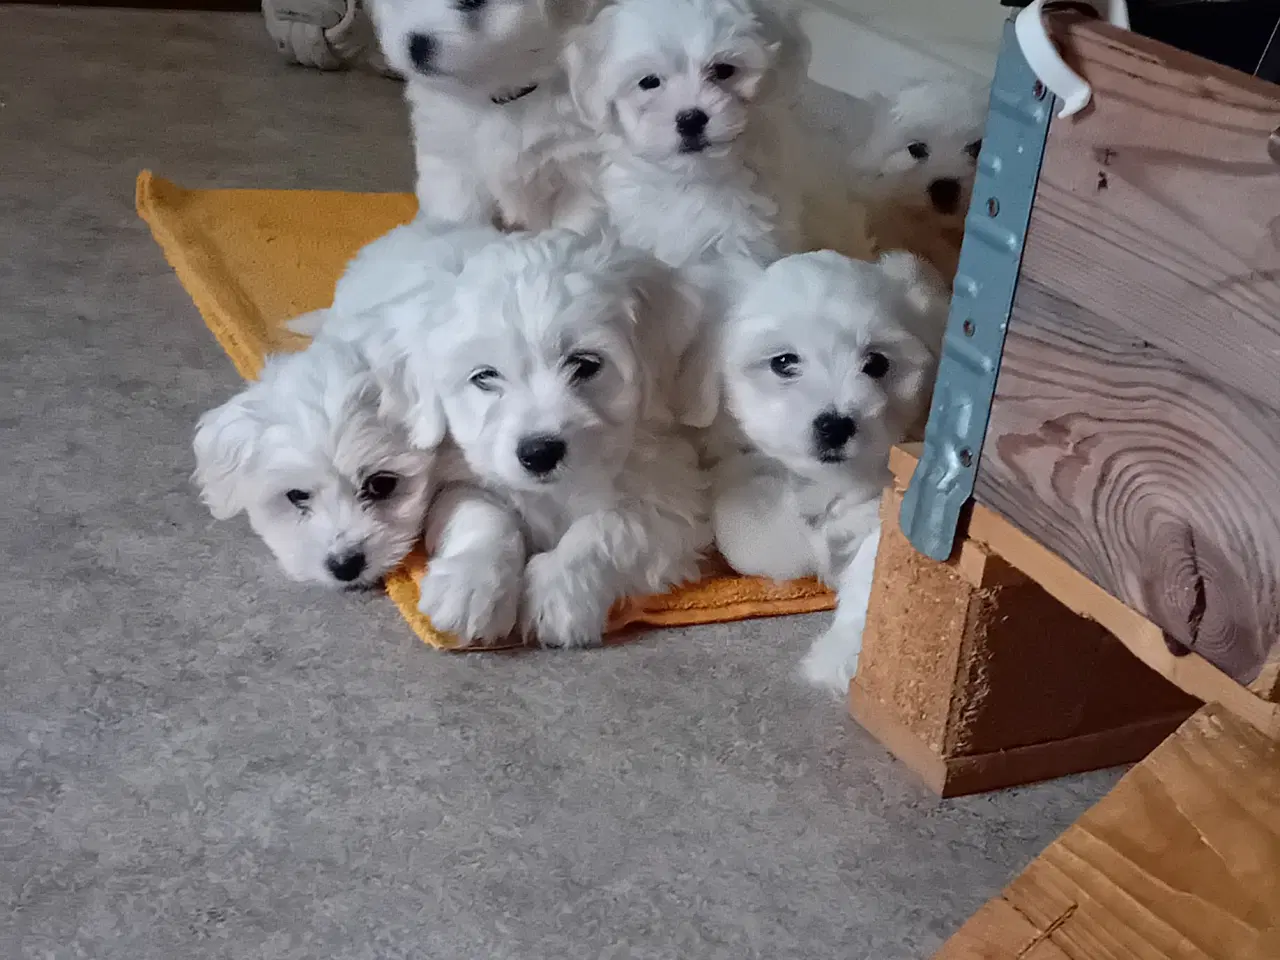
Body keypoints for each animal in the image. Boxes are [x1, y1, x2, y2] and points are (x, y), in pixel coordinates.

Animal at [373, 0, 596, 229]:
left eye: (471, 2)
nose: (416, 45)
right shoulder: (451, 164)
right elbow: (456, 209)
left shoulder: (580, 169)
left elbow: (575, 223)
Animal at [394, 227, 711, 647]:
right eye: (484, 377)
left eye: (585, 364)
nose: (539, 452)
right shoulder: (462, 476)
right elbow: (483, 515)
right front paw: (470, 587)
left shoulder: (667, 501)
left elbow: (604, 530)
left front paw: (559, 594)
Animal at [711, 252, 952, 691]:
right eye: (783, 362)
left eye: (876, 363)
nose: (836, 425)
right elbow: (745, 530)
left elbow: (873, 575)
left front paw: (840, 658)